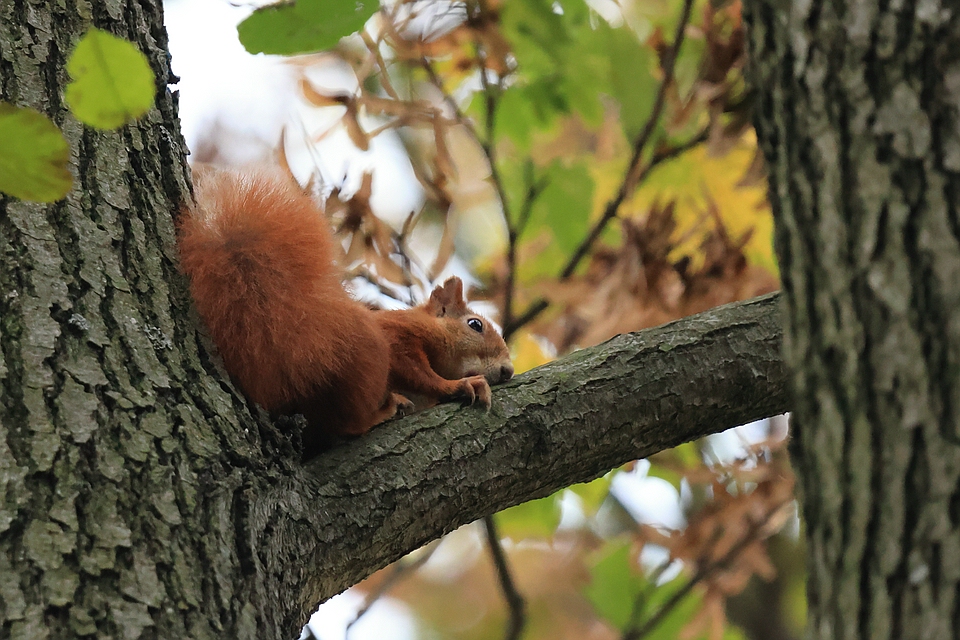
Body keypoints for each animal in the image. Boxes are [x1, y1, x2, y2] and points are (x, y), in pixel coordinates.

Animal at [177, 168, 512, 452]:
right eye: (475, 325)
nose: (508, 371)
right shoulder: (397, 334)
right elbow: (417, 370)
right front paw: (458, 385)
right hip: (367, 351)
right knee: (349, 423)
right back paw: (383, 411)